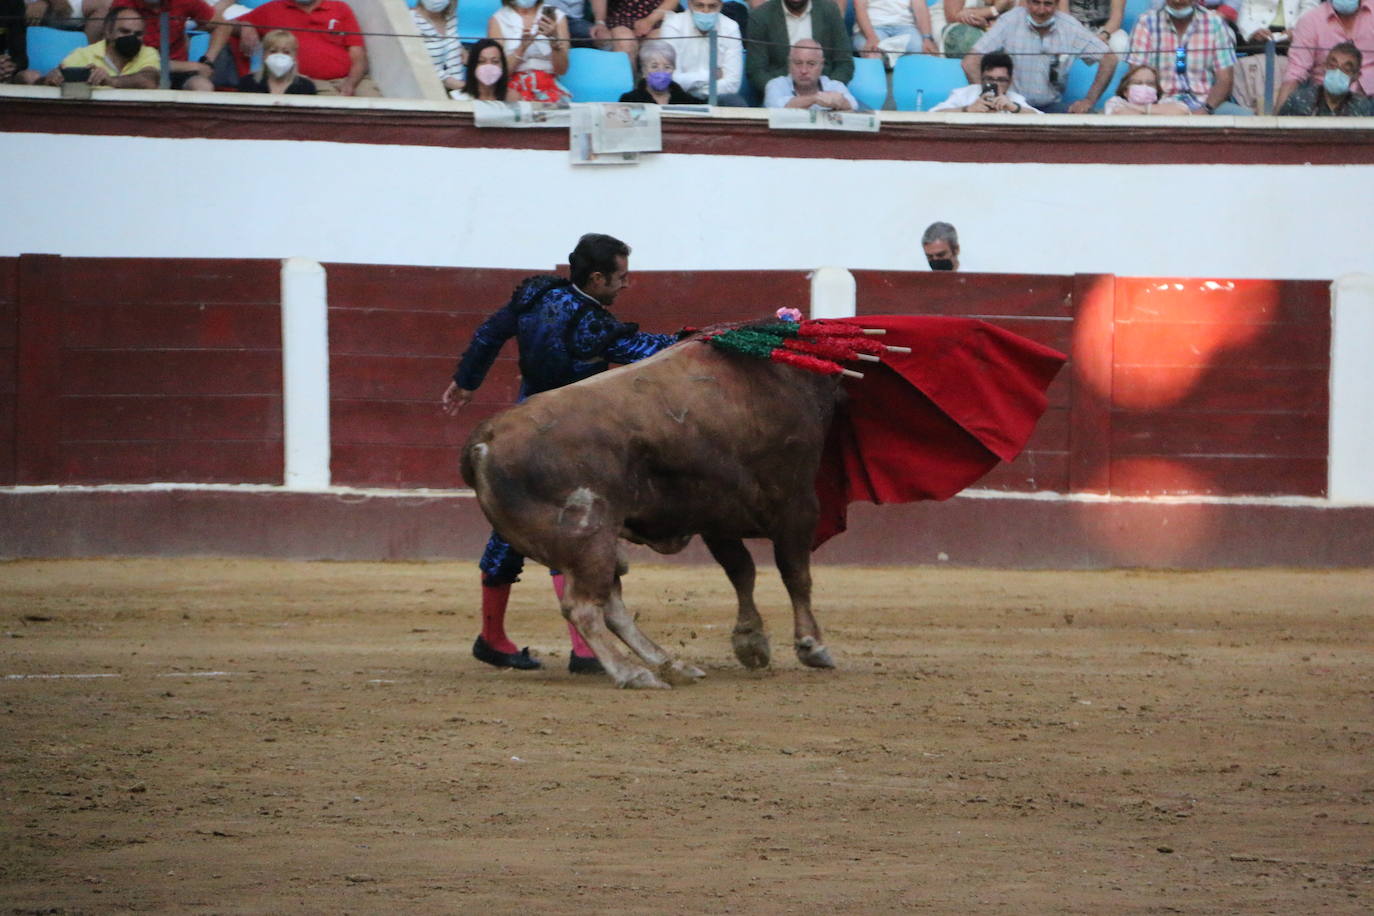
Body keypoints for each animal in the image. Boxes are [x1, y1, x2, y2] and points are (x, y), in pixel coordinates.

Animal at [461, 336, 829, 686]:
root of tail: (485, 440)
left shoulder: (717, 517)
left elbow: (742, 571)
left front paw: (752, 643)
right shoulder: (797, 503)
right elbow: (794, 573)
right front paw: (812, 646)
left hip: (594, 545)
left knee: (611, 607)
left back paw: (672, 665)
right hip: (589, 539)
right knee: (583, 607)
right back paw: (632, 673)